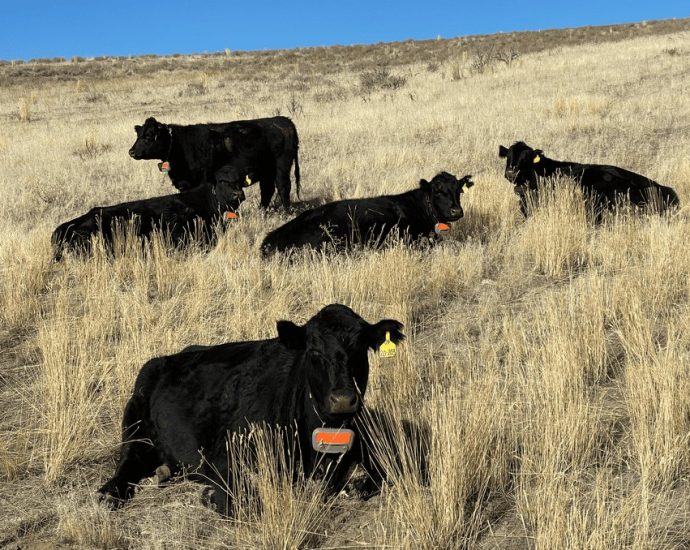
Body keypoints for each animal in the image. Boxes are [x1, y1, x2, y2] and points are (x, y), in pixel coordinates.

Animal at [98, 304, 405, 515]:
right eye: (314, 351)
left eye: (361, 349)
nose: (342, 399)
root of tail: (169, 357)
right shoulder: (225, 454)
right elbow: (244, 500)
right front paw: (210, 496)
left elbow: (384, 474)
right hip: (135, 420)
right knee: (128, 460)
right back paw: (111, 492)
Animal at [129, 115, 300, 208]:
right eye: (138, 135)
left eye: (149, 136)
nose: (131, 152)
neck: (180, 145)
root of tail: (284, 120)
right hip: (266, 171)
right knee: (267, 190)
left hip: (282, 167)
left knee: (283, 187)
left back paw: (286, 211)